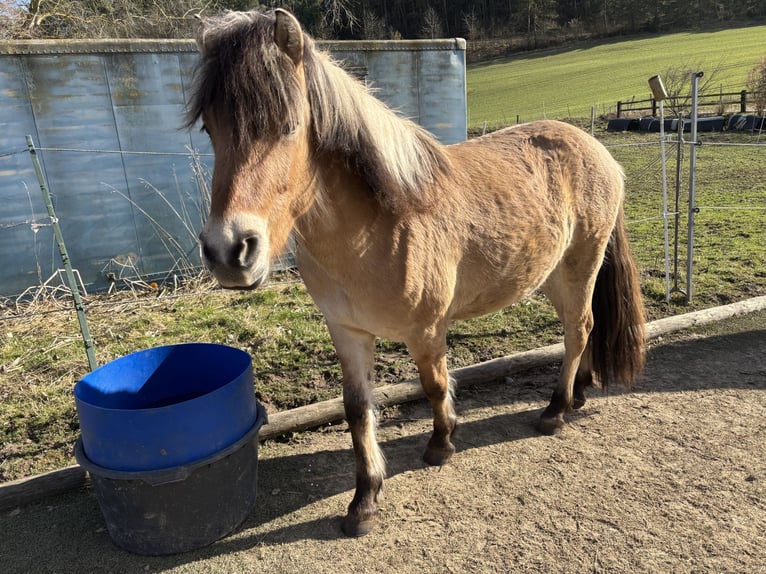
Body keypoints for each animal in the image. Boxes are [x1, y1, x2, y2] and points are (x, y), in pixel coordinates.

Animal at [187, 8, 646, 537]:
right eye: (210, 129)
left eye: (288, 126)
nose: (229, 251)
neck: (379, 224)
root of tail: (595, 148)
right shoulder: (347, 332)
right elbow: (358, 409)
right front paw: (365, 501)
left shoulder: (426, 329)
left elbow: (435, 386)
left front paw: (441, 445)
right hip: (551, 276)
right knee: (582, 328)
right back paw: (580, 393)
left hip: (580, 264)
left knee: (579, 329)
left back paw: (555, 411)